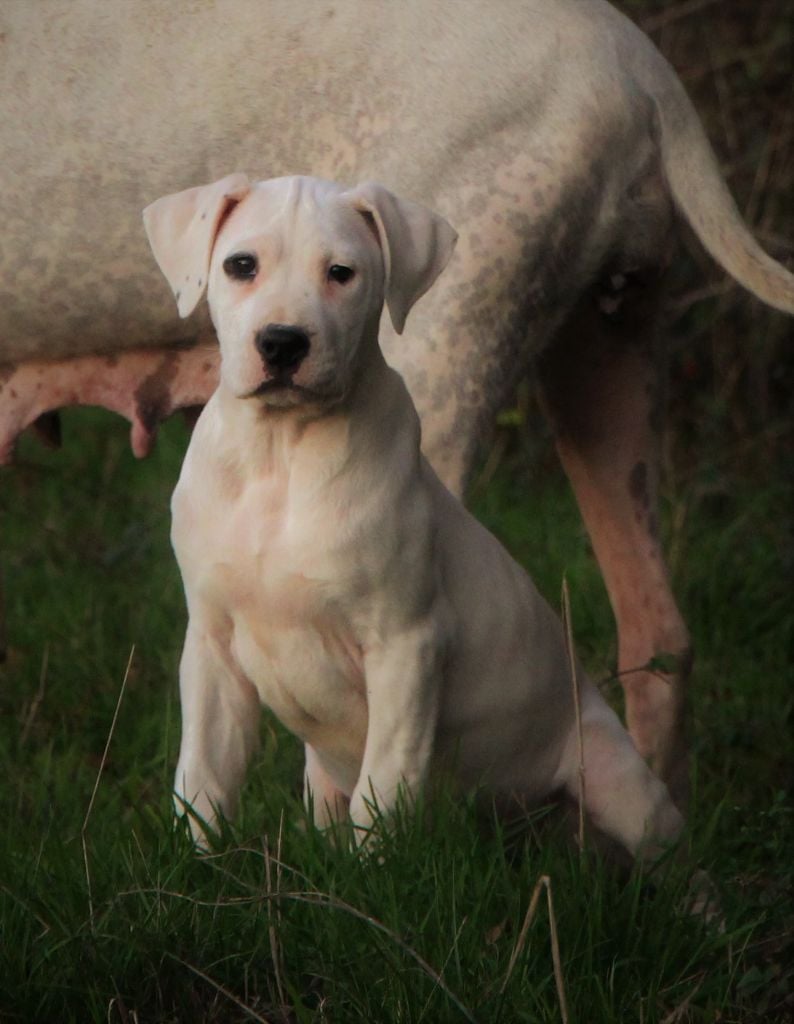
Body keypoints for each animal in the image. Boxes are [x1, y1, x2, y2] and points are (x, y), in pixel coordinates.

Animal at [143, 173, 684, 861]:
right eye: (241, 265)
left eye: (341, 273)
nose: (283, 342)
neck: (281, 454)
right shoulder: (212, 645)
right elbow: (205, 776)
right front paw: (196, 867)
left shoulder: (406, 646)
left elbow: (386, 782)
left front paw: (370, 875)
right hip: (324, 776)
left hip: (614, 776)